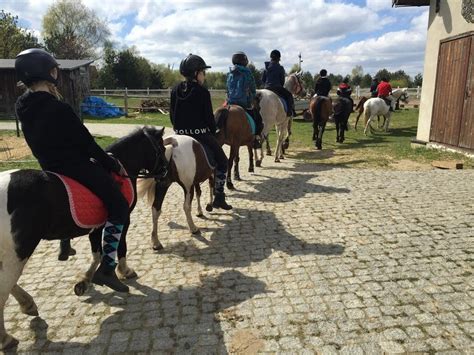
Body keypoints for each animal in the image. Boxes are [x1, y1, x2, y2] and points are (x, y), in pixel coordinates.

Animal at [0, 126, 168, 352]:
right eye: (161, 147)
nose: (165, 172)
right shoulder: (122, 218)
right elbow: (120, 247)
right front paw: (122, 272)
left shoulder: (97, 227)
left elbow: (97, 252)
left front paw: (85, 280)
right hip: (18, 252)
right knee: (4, 287)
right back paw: (6, 337)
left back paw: (28, 305)